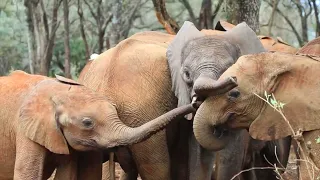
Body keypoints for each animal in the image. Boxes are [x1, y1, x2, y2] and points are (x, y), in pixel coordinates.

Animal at [0, 70, 198, 180]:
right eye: (87, 123)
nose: (195, 102)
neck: (58, 92)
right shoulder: (25, 129)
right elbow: (28, 174)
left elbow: (66, 174)